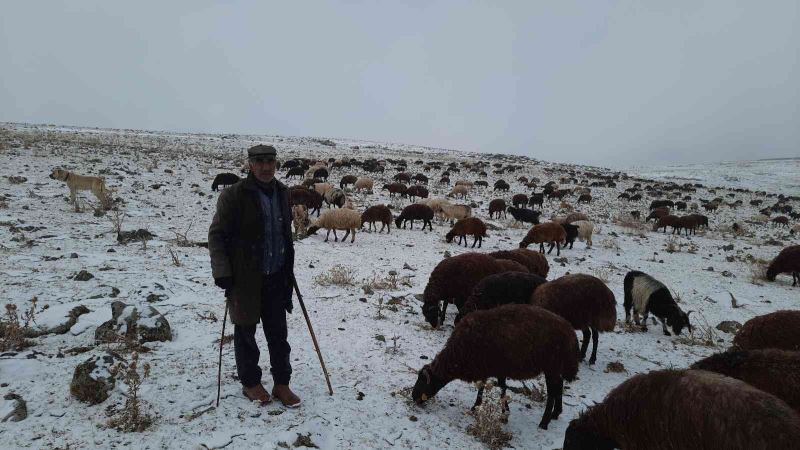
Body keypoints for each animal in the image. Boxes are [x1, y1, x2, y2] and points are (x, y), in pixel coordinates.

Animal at [416, 304, 580, 430]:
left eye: (423, 381)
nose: (413, 397)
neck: (457, 354)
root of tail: (571, 333)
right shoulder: (495, 367)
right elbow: (497, 387)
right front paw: (501, 410)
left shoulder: (488, 366)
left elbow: (491, 386)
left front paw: (485, 408)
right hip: (555, 367)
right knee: (559, 386)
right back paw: (556, 413)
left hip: (551, 365)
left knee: (552, 391)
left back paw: (544, 422)